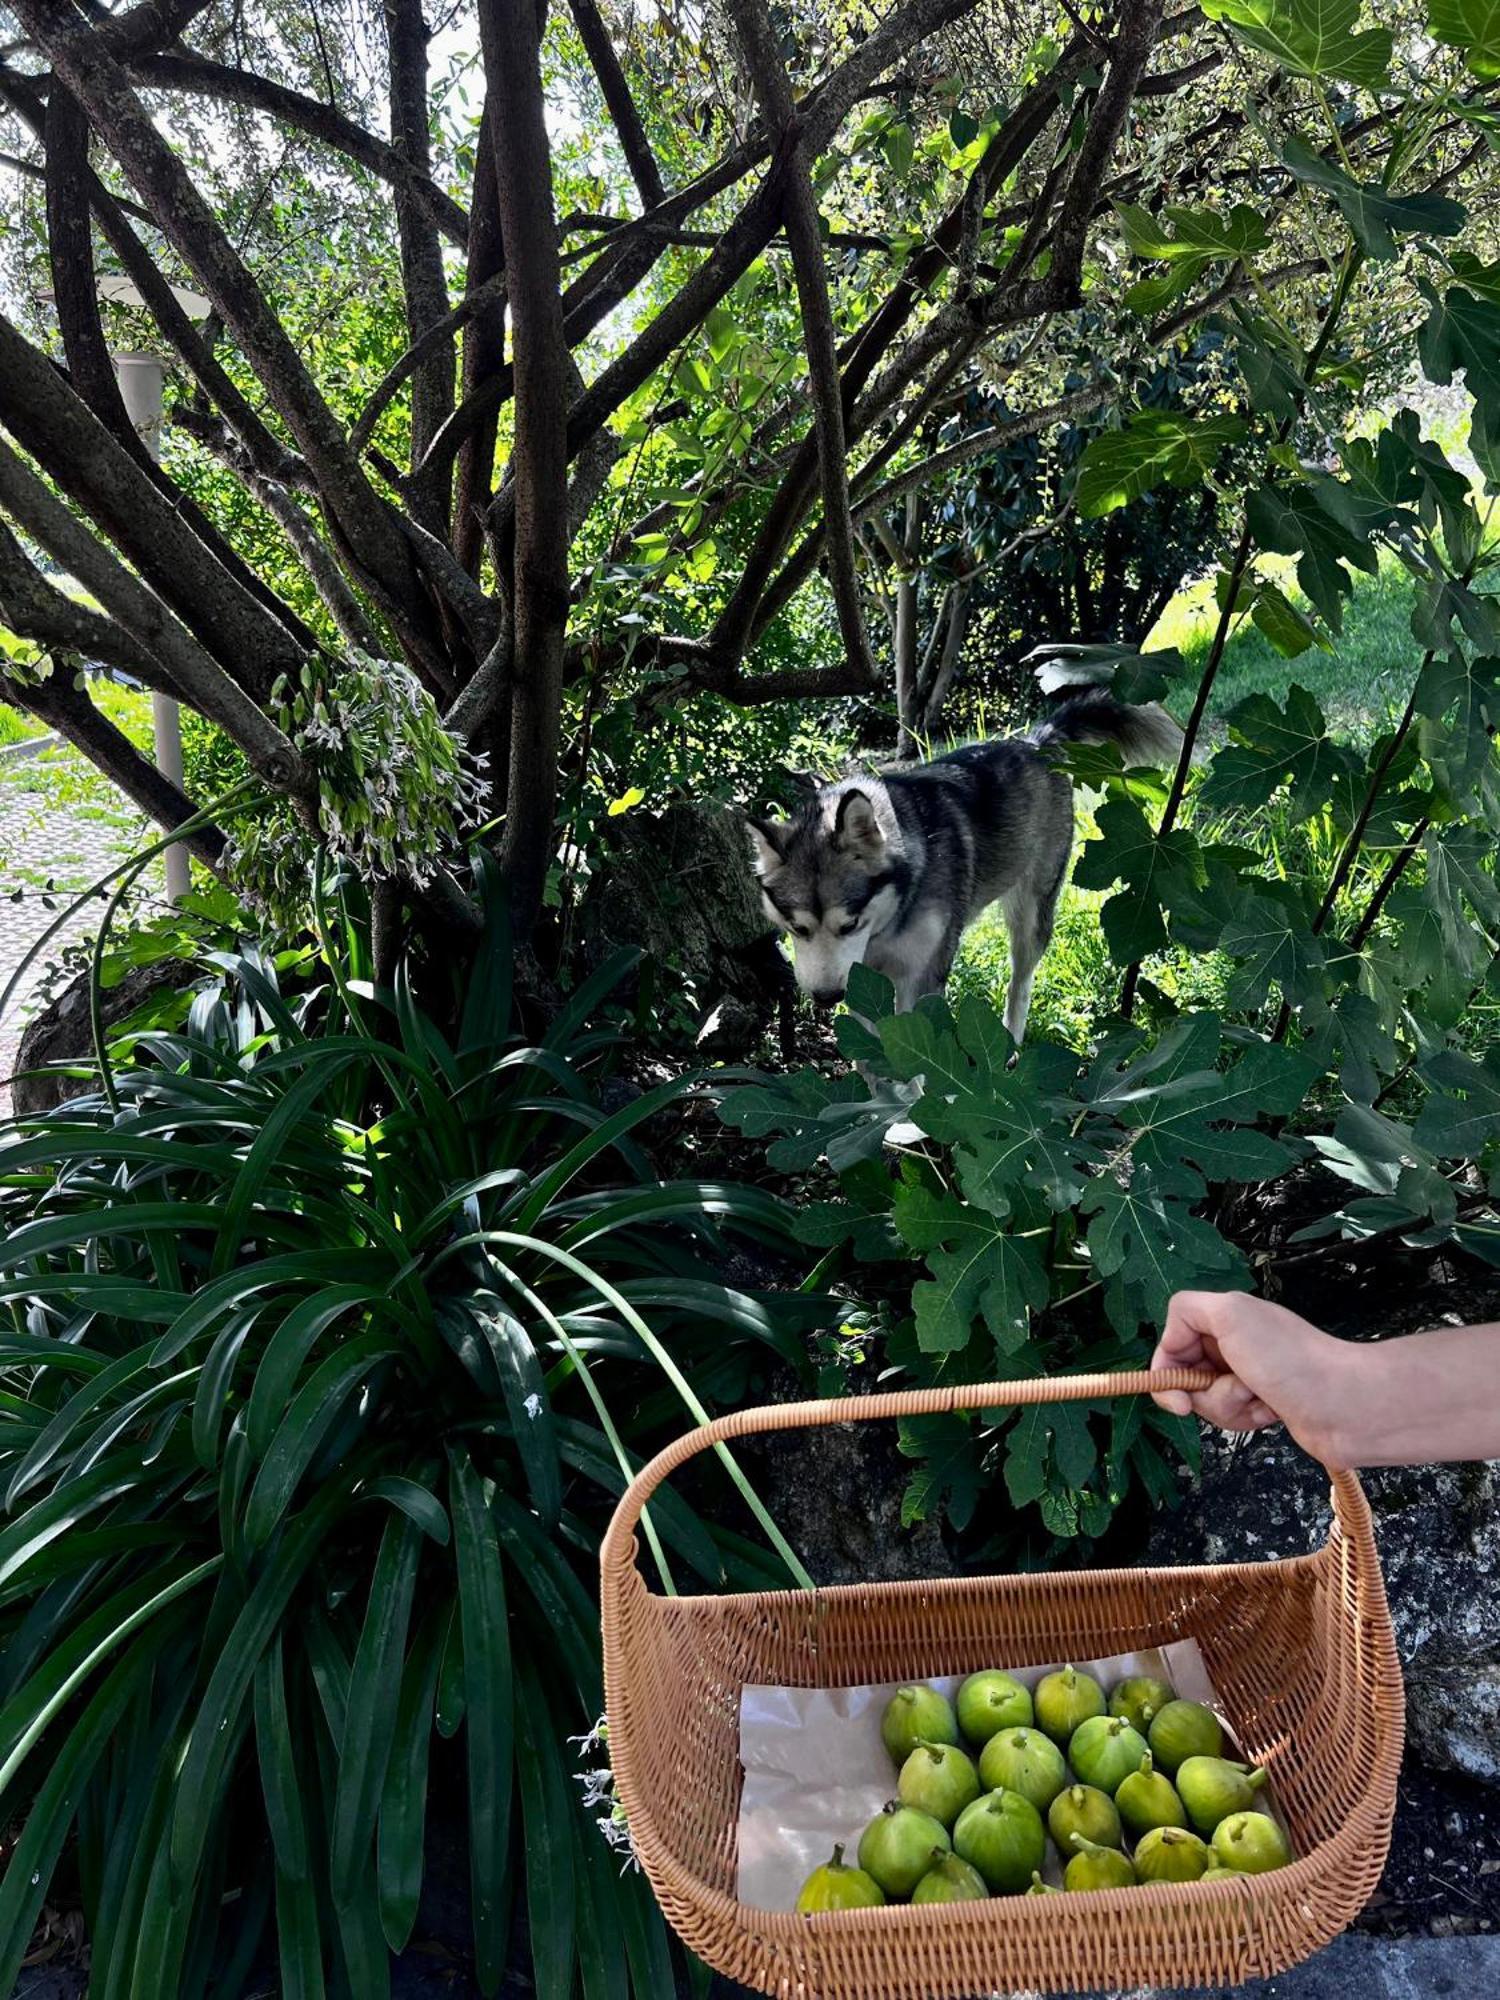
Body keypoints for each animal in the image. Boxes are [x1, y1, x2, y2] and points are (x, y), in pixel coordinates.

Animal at [752, 692, 1184, 1048]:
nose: (826, 998)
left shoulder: (922, 976)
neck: (885, 925)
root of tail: (1035, 742)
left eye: (850, 924)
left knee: (1019, 985)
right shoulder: (861, 979)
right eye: (797, 928)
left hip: (1031, 917)